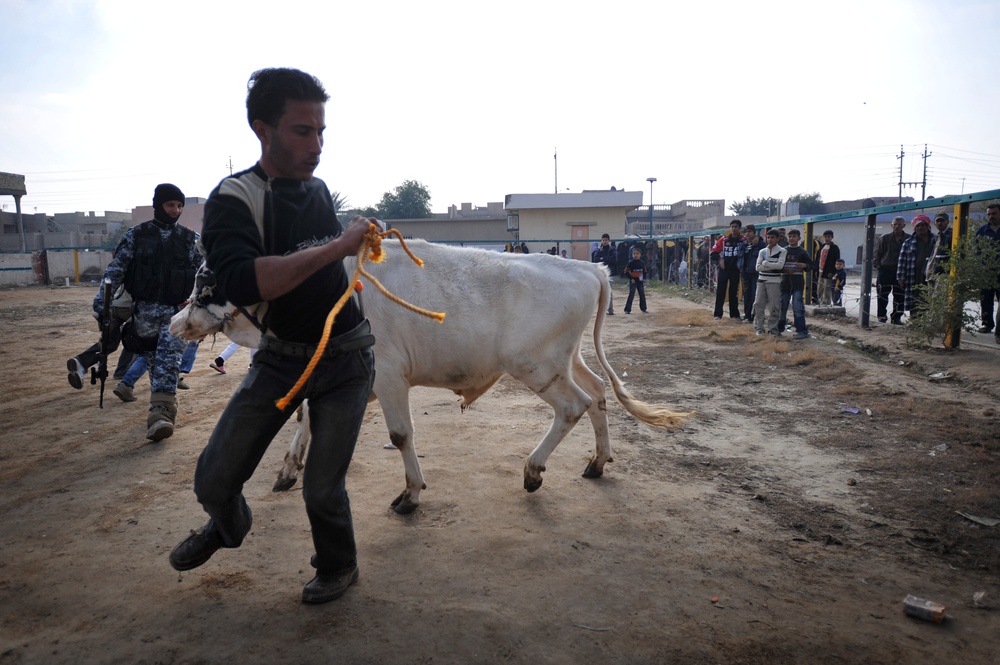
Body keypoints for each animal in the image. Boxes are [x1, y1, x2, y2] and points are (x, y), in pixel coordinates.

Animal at [170, 239, 688, 512]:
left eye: (205, 282)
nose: (175, 323)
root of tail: (588, 266)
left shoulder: (387, 376)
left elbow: (400, 435)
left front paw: (411, 492)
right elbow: (305, 419)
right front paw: (287, 469)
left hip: (535, 365)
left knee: (574, 406)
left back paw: (533, 470)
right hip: (567, 359)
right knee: (598, 393)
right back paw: (598, 461)